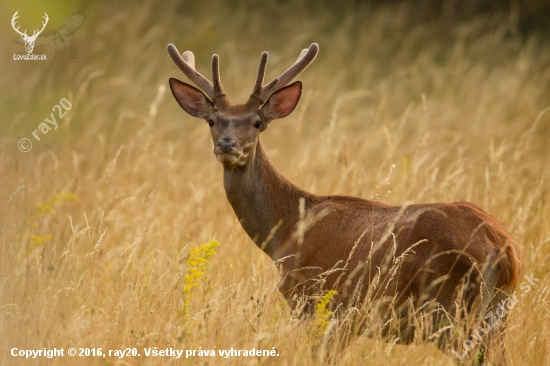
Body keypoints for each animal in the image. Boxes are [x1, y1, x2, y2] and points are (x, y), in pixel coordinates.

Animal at [167, 42, 520, 364]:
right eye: (212, 121)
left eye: (256, 122)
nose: (227, 144)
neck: (286, 231)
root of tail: (505, 251)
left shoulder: (322, 305)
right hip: (494, 316)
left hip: (453, 311)